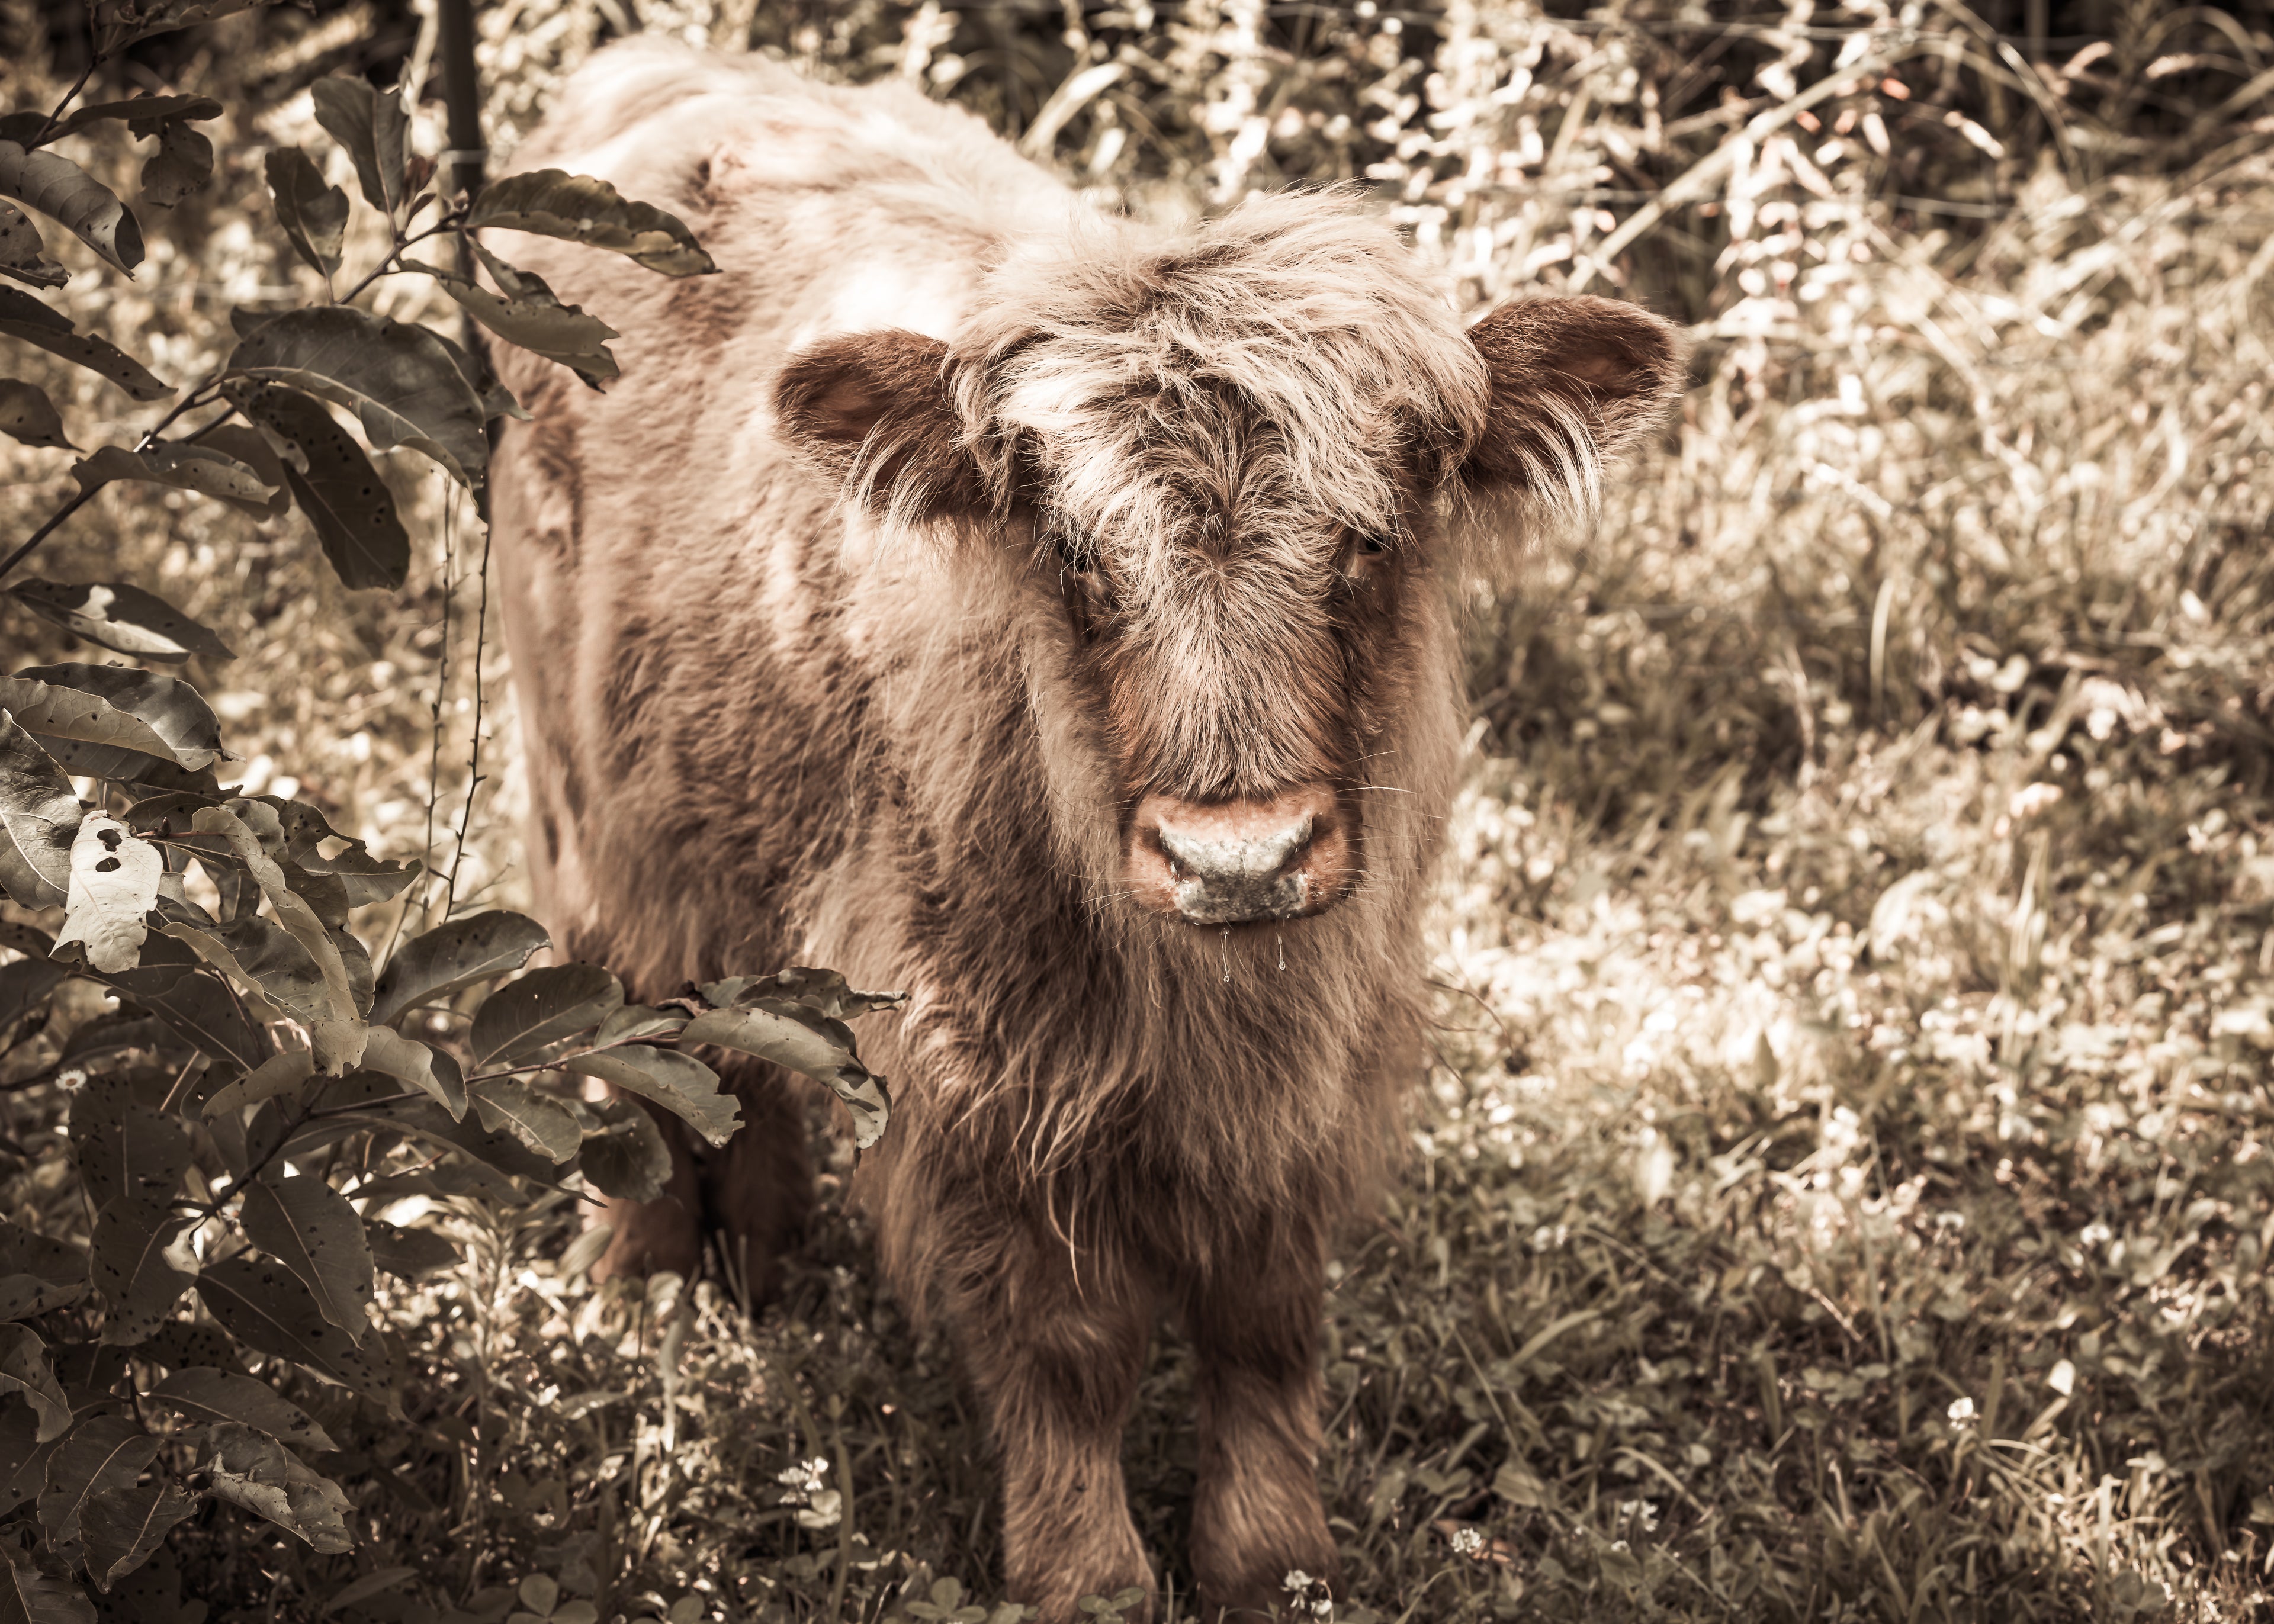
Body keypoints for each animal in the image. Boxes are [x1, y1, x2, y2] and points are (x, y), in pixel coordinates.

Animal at [485, 38, 1683, 1623]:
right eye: (1073, 554)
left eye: (1371, 540)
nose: (1238, 857)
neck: (1212, 1000)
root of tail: (659, 65)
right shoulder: (983, 1058)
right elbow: (1065, 1341)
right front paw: (1086, 1576)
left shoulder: (1328, 1051)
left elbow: (1265, 1314)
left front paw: (1270, 1559)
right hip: (587, 811)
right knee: (631, 1030)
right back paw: (647, 1280)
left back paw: (767, 1245)